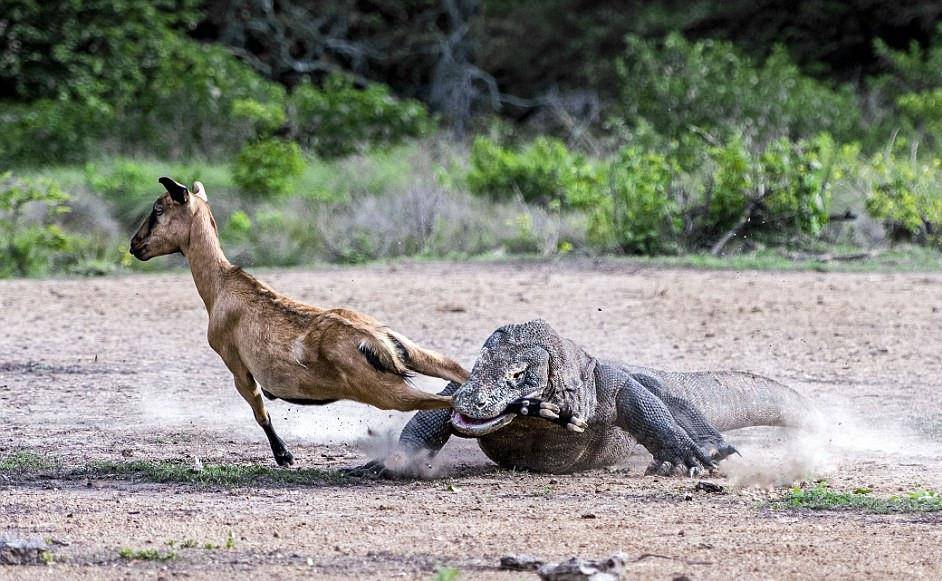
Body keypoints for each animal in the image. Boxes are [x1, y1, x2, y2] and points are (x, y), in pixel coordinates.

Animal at [131, 176, 470, 462]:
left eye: (158, 209)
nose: (135, 245)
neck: (221, 286)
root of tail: (375, 340)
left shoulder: (235, 363)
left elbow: (260, 410)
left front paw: (284, 456)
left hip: (386, 392)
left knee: (453, 400)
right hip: (410, 353)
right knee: (456, 370)